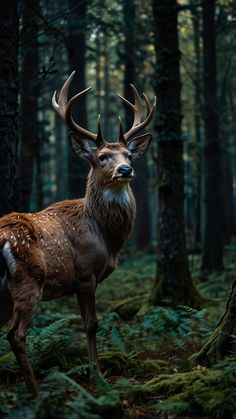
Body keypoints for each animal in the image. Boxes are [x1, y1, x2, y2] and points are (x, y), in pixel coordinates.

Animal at [0, 71, 156, 398]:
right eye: (102, 156)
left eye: (128, 154)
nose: (126, 169)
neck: (105, 236)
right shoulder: (85, 274)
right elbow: (91, 324)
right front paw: (97, 374)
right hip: (28, 280)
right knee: (15, 334)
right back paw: (36, 393)